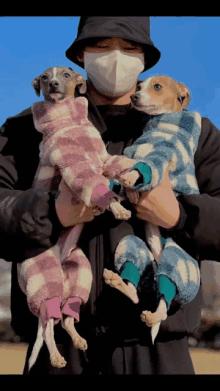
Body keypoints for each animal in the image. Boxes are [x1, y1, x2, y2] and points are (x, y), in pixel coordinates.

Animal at [103, 76, 201, 344]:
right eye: (138, 86)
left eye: (157, 86)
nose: (134, 97)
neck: (158, 124)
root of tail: (157, 260)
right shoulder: (132, 151)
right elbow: (122, 172)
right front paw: (123, 193)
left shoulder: (163, 153)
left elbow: (142, 168)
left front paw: (131, 179)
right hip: (135, 248)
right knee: (137, 291)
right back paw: (120, 282)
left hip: (180, 263)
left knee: (165, 306)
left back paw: (153, 316)